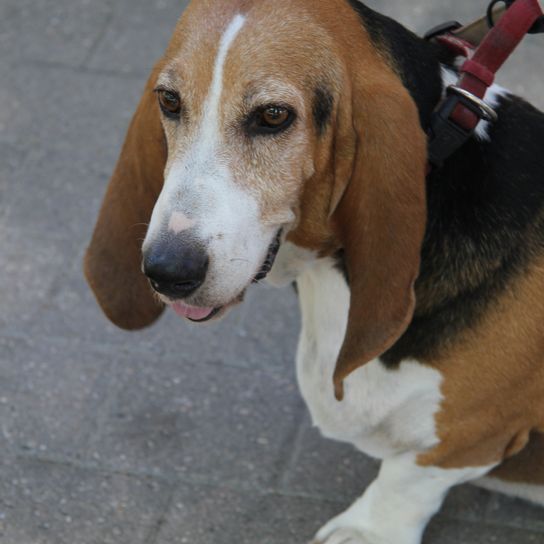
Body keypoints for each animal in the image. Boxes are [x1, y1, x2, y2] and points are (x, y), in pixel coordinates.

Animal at [84, 0, 544, 540]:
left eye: (273, 116)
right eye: (170, 101)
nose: (166, 270)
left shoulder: (470, 432)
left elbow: (408, 477)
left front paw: (365, 530)